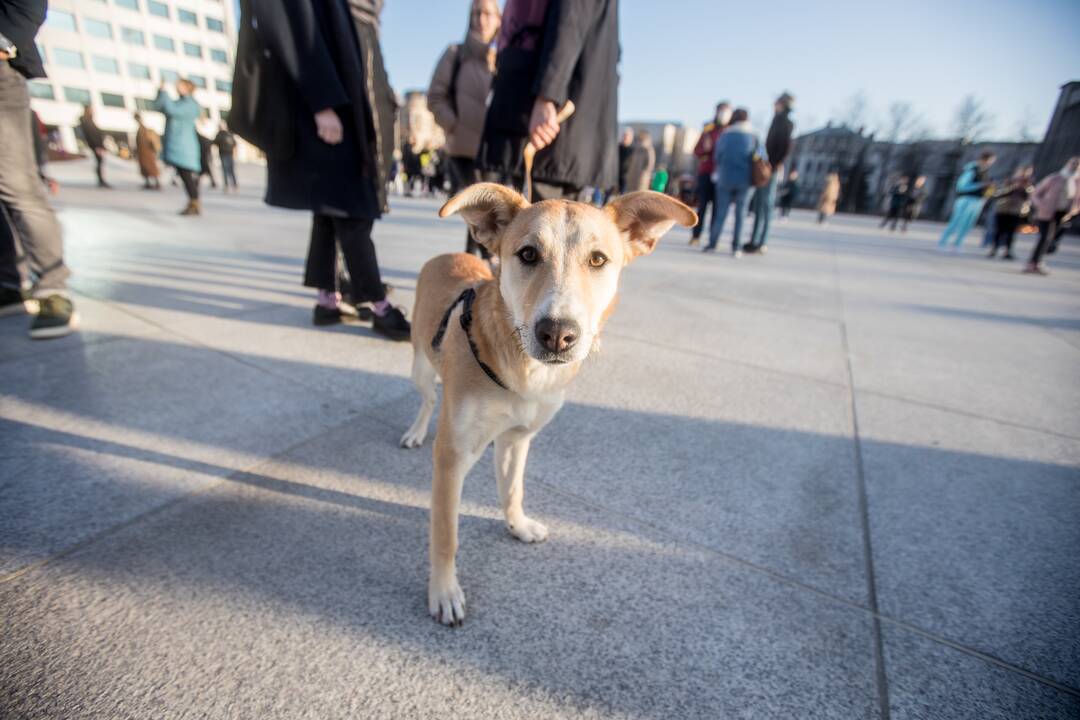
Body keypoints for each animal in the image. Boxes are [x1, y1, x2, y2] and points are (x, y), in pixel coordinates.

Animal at [401, 184, 695, 626]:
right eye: (527, 254)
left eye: (598, 259)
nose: (557, 333)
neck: (523, 373)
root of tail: (448, 255)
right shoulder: (453, 455)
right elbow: (446, 534)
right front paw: (444, 592)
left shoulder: (517, 438)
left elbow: (513, 489)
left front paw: (518, 526)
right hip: (421, 362)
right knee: (428, 398)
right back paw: (417, 430)